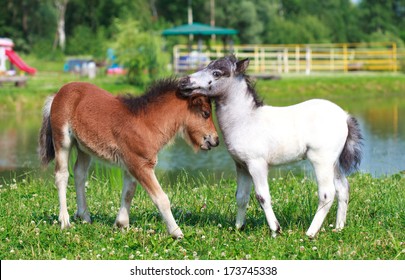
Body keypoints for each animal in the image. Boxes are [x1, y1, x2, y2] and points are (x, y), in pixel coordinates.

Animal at [178, 55, 362, 238]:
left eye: (216, 73)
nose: (183, 82)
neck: (246, 120)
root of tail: (344, 116)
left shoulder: (256, 164)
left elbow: (262, 196)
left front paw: (275, 230)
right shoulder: (241, 165)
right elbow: (241, 197)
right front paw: (238, 228)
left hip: (321, 161)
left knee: (327, 194)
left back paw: (310, 233)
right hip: (333, 162)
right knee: (343, 188)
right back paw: (339, 228)